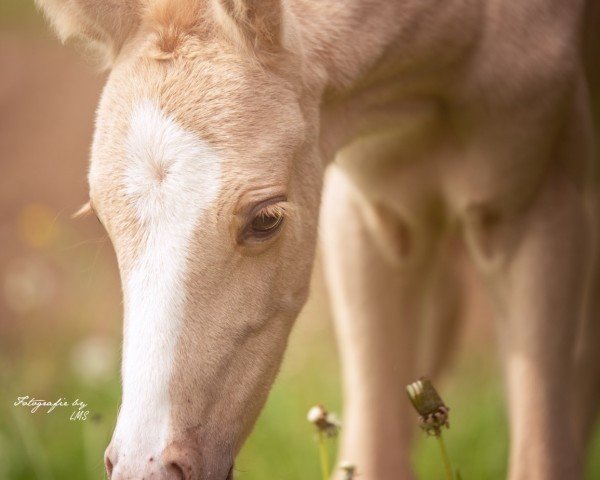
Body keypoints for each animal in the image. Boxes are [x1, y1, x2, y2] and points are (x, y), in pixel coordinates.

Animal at [38, 0, 600, 478]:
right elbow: (376, 452)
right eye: (101, 218)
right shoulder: (370, 213)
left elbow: (541, 453)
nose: (149, 468)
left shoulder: (540, 203)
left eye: (266, 219)